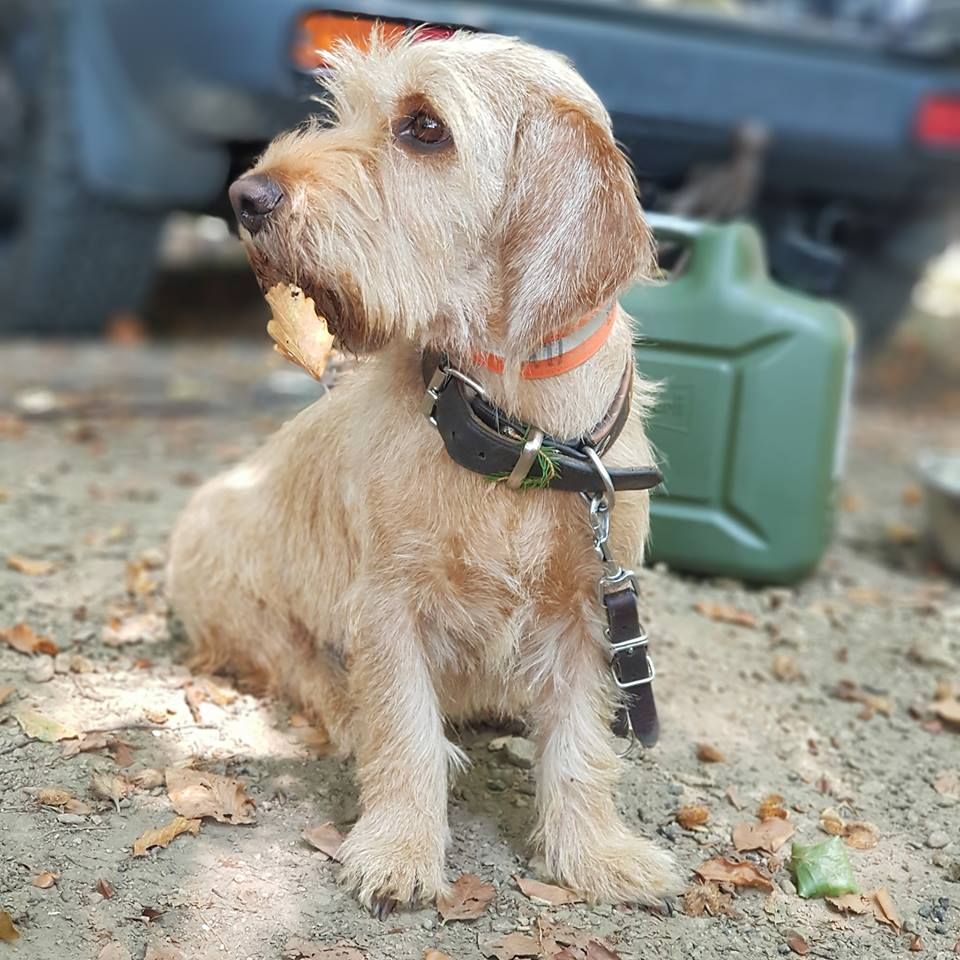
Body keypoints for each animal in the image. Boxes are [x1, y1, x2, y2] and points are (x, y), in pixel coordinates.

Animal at [168, 30, 678, 914]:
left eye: (425, 128)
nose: (245, 196)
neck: (516, 434)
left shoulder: (589, 618)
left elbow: (581, 744)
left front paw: (597, 854)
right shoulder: (388, 609)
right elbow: (403, 731)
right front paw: (401, 849)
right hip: (246, 602)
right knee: (309, 671)